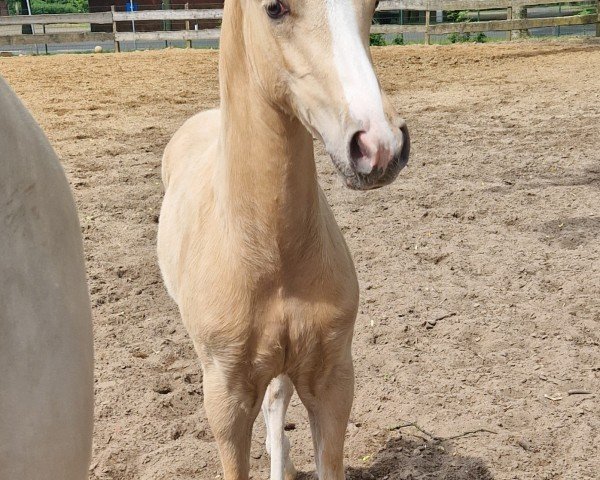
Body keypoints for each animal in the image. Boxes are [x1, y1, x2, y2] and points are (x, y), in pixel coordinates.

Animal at [157, 0, 410, 478]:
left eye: (373, 6)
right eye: (273, 8)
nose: (380, 146)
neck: (270, 257)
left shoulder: (332, 381)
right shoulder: (225, 399)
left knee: (276, 401)